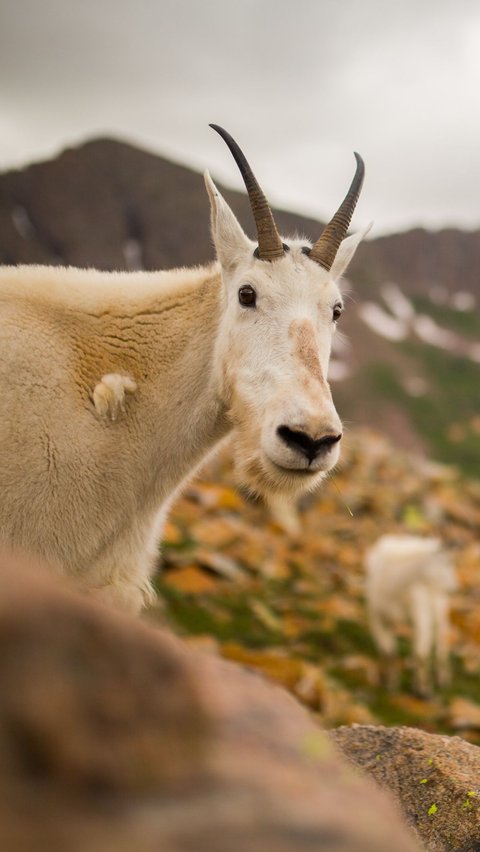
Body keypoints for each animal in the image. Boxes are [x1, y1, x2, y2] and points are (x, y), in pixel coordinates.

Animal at [366, 536, 456, 696]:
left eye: (451, 563)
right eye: (445, 562)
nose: (453, 588)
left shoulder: (421, 614)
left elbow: (421, 653)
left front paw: (423, 690)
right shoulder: (378, 618)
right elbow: (389, 652)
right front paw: (391, 684)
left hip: (437, 609)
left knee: (440, 641)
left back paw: (442, 680)